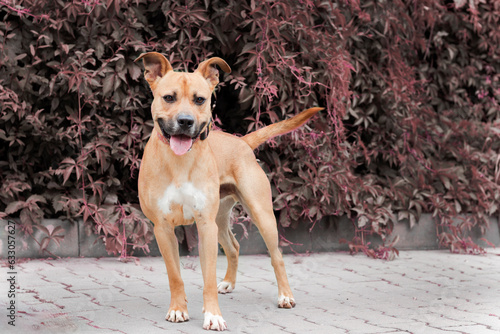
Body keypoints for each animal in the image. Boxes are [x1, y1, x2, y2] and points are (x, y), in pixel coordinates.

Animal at [135, 52, 322, 332]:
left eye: (200, 100)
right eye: (168, 97)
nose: (185, 121)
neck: (180, 162)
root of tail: (242, 142)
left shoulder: (205, 225)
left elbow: (208, 278)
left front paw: (212, 315)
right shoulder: (163, 228)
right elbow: (175, 276)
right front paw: (178, 309)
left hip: (260, 215)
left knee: (277, 255)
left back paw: (285, 296)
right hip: (221, 220)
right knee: (233, 247)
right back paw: (229, 283)